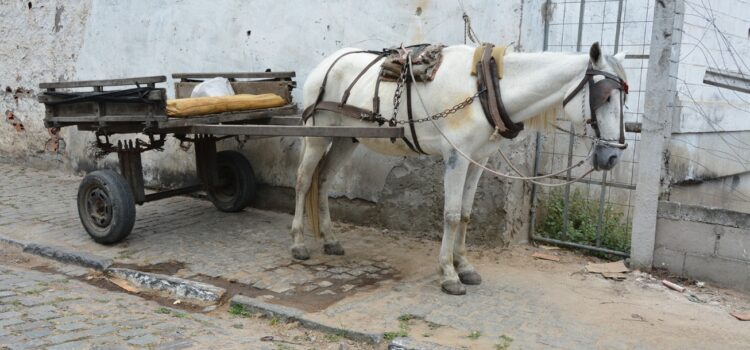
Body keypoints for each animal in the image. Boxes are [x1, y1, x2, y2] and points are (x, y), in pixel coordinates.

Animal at [290, 43, 628, 296]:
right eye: (606, 97)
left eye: (624, 98)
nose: (612, 157)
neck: (485, 90)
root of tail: (326, 64)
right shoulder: (457, 156)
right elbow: (451, 215)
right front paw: (449, 274)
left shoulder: (479, 159)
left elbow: (466, 214)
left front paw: (464, 266)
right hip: (317, 135)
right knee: (304, 181)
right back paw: (298, 244)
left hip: (347, 138)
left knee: (324, 180)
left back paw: (330, 240)